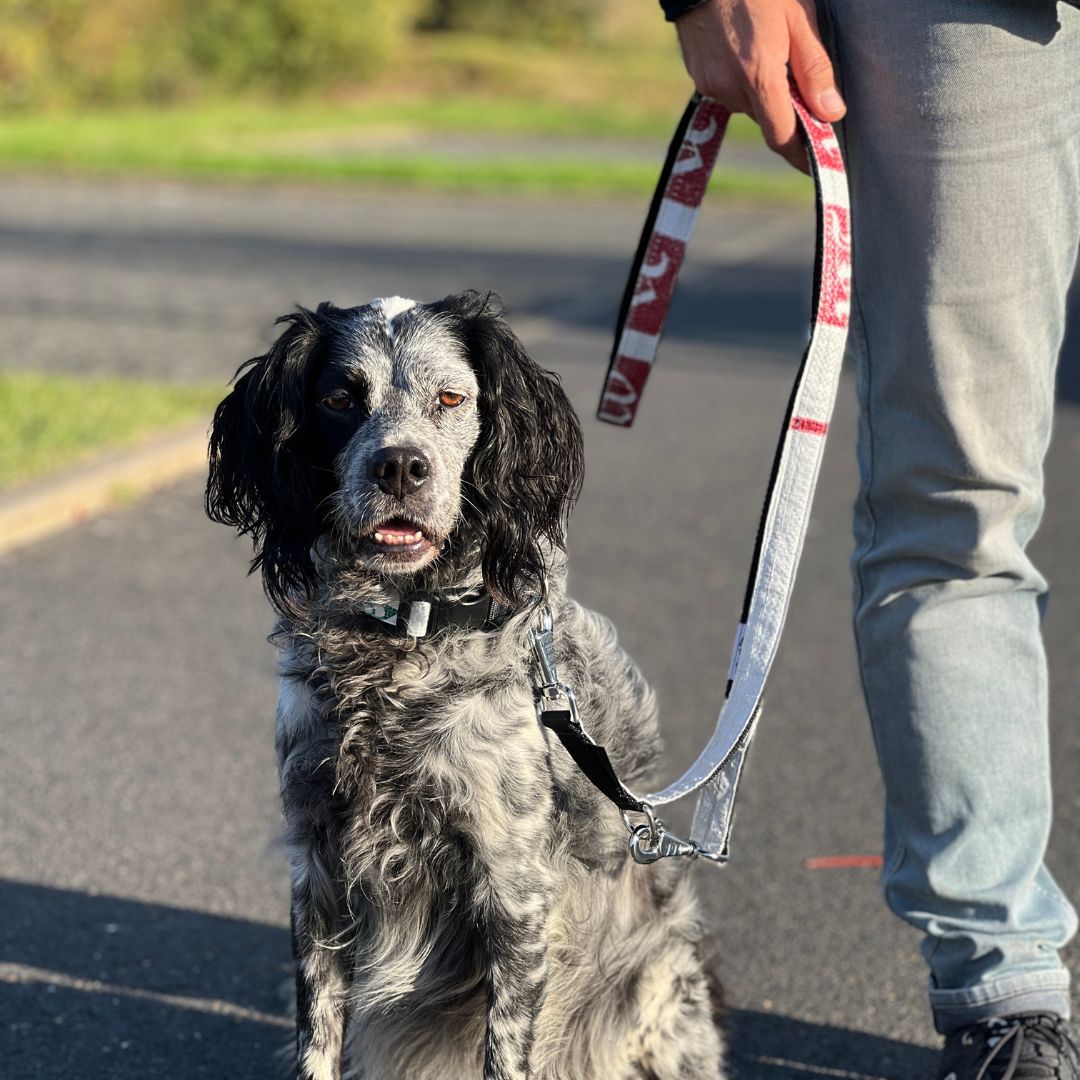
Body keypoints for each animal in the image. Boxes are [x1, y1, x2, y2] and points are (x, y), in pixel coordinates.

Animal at [204, 291, 725, 1075]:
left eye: (450, 398)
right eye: (338, 398)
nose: (399, 467)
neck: (402, 639)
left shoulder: (514, 892)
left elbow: (505, 1053)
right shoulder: (317, 871)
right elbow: (316, 1044)